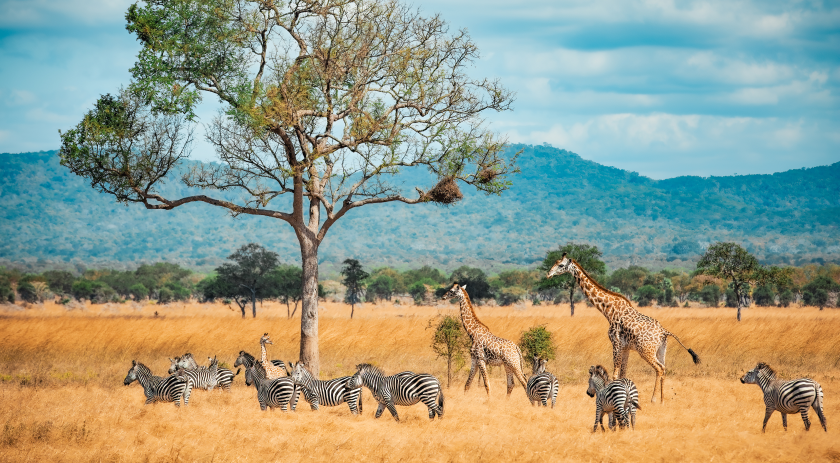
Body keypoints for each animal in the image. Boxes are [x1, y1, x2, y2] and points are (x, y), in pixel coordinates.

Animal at [547, 253, 700, 403]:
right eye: (555, 262)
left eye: (561, 265)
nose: (548, 274)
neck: (608, 310)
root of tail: (664, 332)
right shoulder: (626, 347)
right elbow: (623, 373)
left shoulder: (616, 344)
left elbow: (615, 374)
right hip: (661, 350)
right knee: (664, 368)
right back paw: (662, 400)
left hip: (646, 351)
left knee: (659, 369)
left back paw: (654, 399)